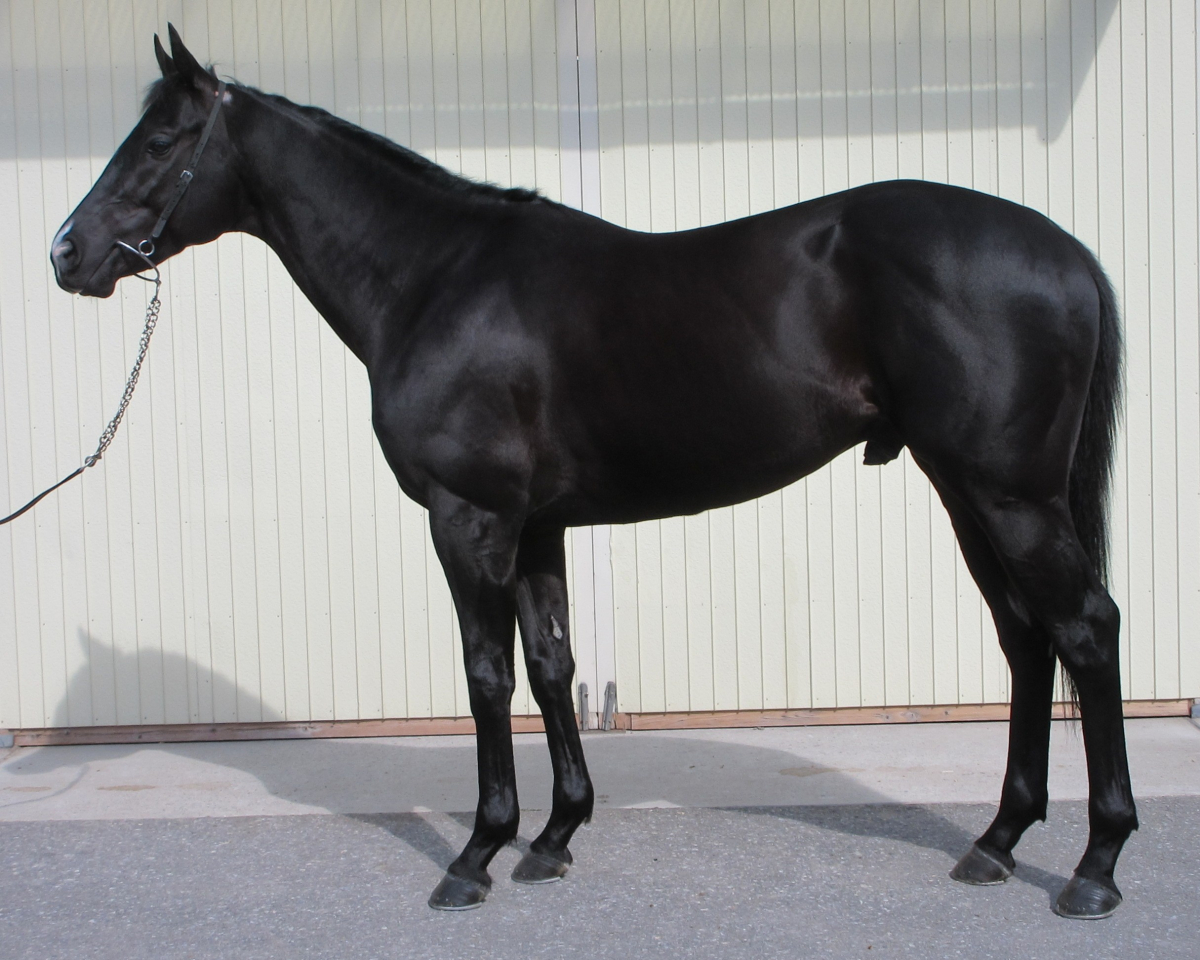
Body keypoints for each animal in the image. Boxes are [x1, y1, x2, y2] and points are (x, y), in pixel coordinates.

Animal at [50, 27, 1134, 919]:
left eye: (160, 140)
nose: (68, 254)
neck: (436, 279)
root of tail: (1068, 251)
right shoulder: (538, 525)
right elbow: (551, 665)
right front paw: (554, 836)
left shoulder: (469, 518)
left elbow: (486, 675)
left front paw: (476, 854)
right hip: (968, 492)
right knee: (1026, 639)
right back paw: (998, 842)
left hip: (1010, 495)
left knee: (1085, 629)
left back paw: (1094, 868)